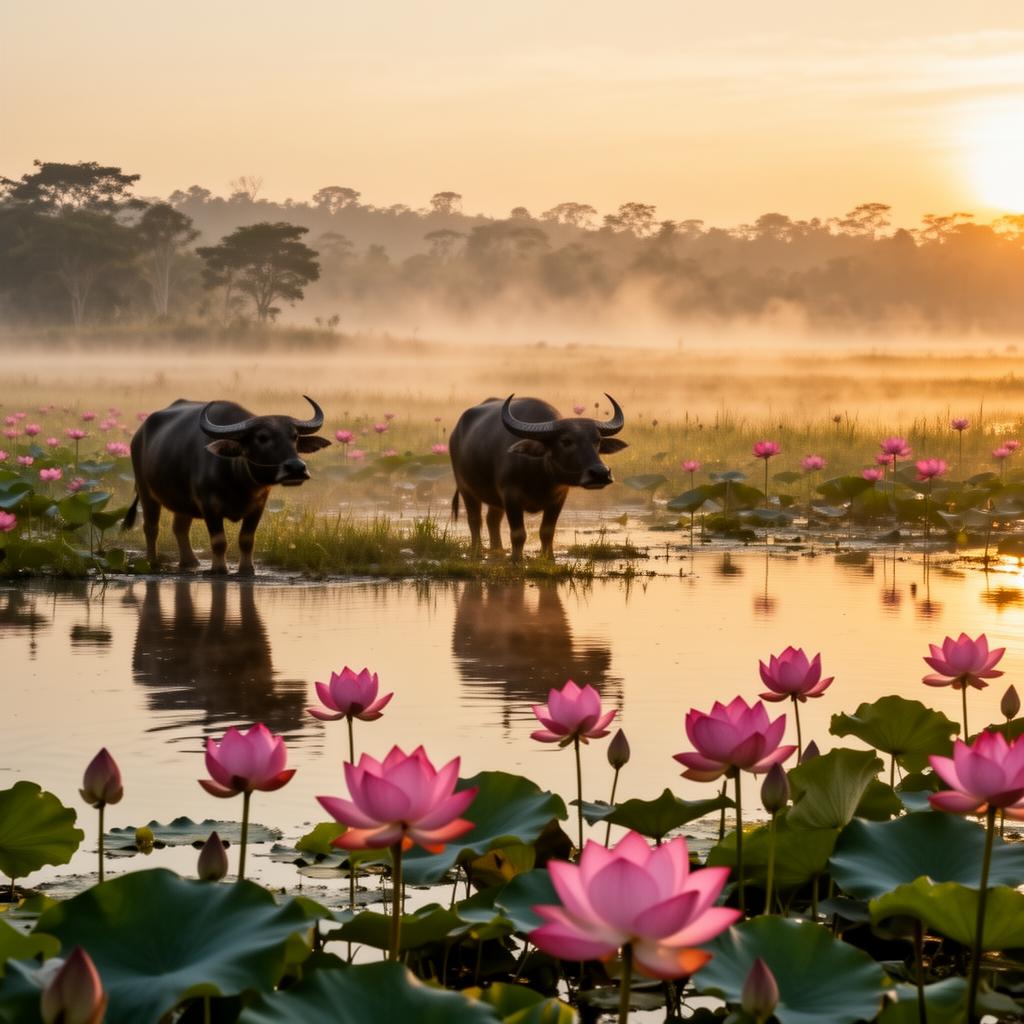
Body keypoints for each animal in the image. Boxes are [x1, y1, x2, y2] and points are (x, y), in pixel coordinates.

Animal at [124, 396, 330, 575]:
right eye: (262, 437)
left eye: (294, 436)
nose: (296, 468)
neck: (238, 483)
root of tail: (138, 435)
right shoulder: (209, 505)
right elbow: (219, 541)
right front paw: (219, 569)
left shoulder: (258, 506)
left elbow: (247, 539)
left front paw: (247, 569)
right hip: (146, 491)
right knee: (151, 527)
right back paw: (152, 562)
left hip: (182, 501)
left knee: (179, 528)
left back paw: (190, 562)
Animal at [449, 394, 627, 560]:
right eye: (566, 441)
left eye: (597, 440)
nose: (600, 473)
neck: (540, 476)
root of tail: (455, 433)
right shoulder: (510, 495)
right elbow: (518, 534)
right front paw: (516, 560)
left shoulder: (558, 498)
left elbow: (547, 532)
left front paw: (548, 558)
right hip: (465, 488)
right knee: (475, 520)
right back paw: (477, 552)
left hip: (495, 499)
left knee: (492, 520)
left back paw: (497, 550)